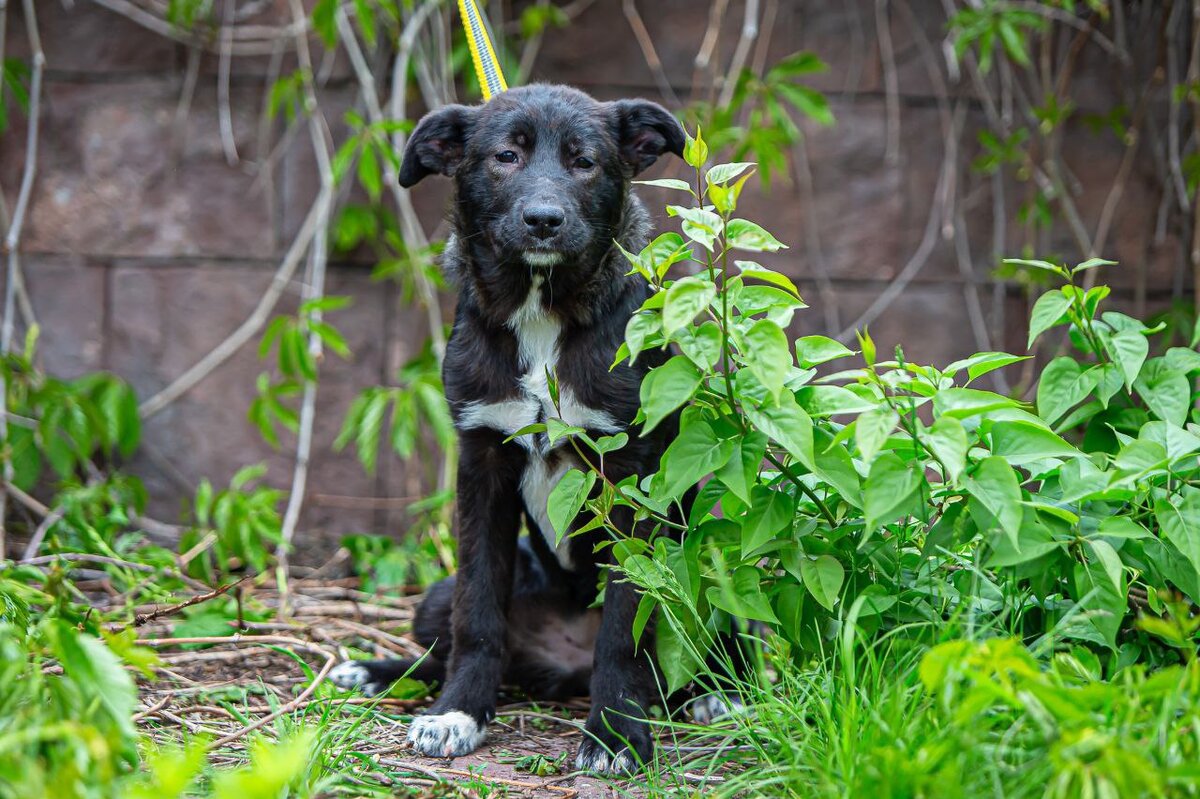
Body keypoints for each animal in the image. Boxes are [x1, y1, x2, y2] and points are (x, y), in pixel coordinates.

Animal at [331, 85, 720, 772]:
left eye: (585, 162)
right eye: (505, 157)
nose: (543, 220)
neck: (540, 306)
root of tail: (563, 667)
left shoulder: (630, 473)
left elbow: (624, 622)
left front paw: (616, 732)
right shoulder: (482, 459)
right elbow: (477, 612)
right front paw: (459, 713)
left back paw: (703, 695)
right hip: (436, 595)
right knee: (449, 637)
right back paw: (380, 672)